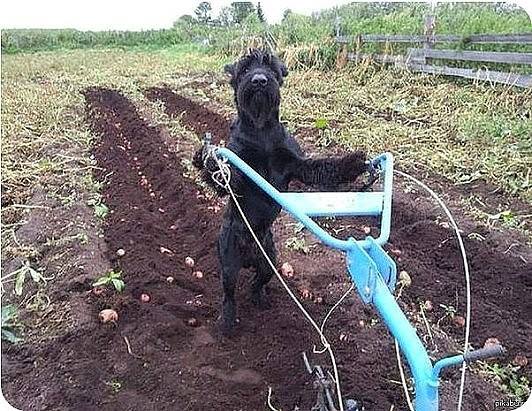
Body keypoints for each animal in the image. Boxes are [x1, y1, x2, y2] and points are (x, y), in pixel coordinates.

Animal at [194, 50, 370, 336]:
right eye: (244, 70)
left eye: (271, 67)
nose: (259, 80)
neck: (261, 128)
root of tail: (250, 257)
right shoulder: (239, 173)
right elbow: (224, 178)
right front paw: (207, 160)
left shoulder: (297, 165)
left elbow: (324, 167)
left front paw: (353, 163)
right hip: (228, 264)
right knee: (229, 294)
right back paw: (227, 323)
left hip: (270, 263)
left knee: (257, 282)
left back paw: (261, 299)